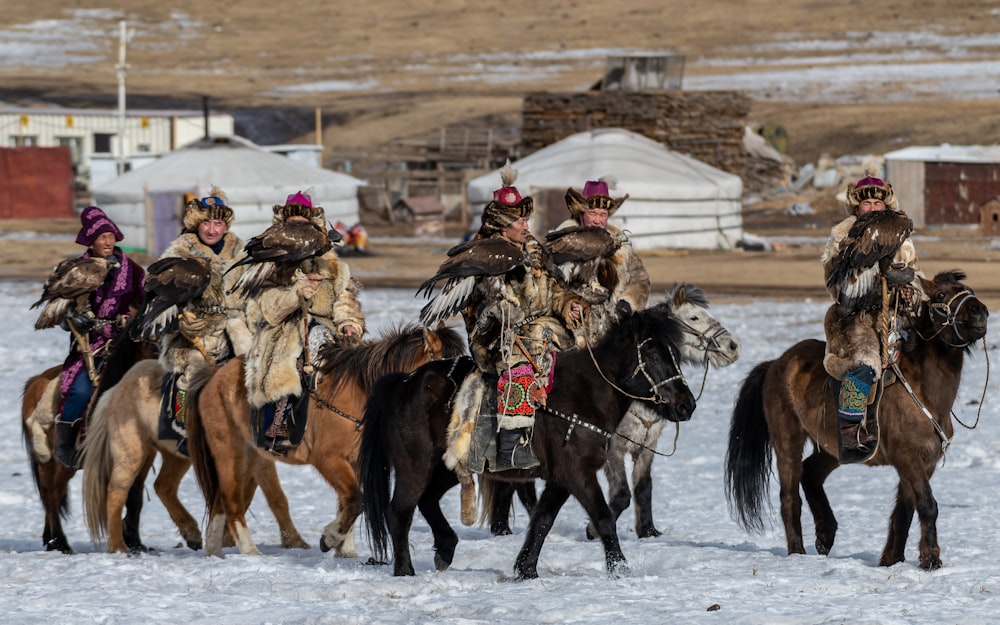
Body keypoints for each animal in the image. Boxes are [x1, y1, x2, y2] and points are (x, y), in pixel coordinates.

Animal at [189, 322, 466, 556]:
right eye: (447, 372)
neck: (357, 393)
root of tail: (213, 378)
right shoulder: (328, 460)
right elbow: (354, 500)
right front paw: (331, 538)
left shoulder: (356, 462)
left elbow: (349, 503)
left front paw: (345, 549)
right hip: (230, 452)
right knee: (232, 502)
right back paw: (249, 551)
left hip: (252, 456)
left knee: (219, 502)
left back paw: (214, 551)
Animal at [360, 300, 696, 576]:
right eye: (653, 355)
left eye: (675, 355)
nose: (686, 405)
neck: (584, 395)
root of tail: (404, 382)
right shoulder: (577, 473)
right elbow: (603, 518)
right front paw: (620, 569)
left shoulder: (561, 478)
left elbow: (542, 520)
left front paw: (526, 569)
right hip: (414, 466)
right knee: (400, 511)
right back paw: (405, 570)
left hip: (448, 467)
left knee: (427, 500)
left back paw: (445, 547)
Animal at [724, 270, 988, 568]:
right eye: (941, 294)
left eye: (969, 291)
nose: (980, 312)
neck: (923, 392)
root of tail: (776, 364)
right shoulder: (908, 458)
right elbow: (927, 504)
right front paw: (931, 558)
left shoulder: (925, 461)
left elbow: (905, 509)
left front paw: (891, 560)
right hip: (787, 440)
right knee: (790, 496)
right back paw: (798, 553)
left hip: (834, 449)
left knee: (810, 474)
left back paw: (825, 536)